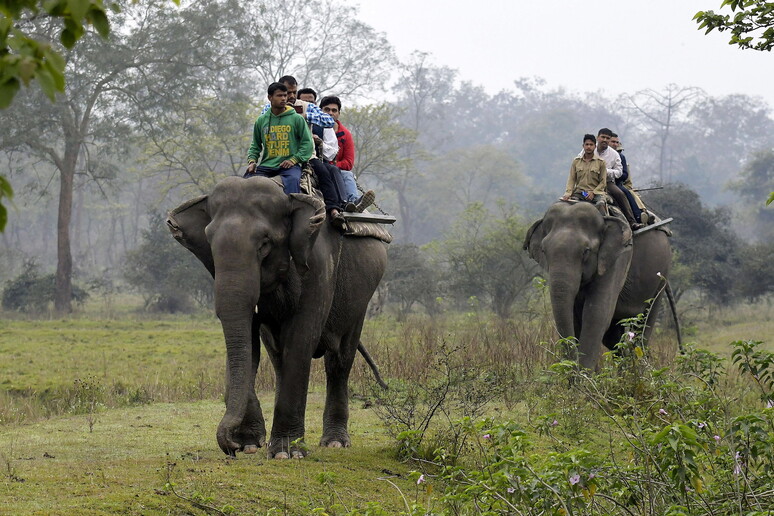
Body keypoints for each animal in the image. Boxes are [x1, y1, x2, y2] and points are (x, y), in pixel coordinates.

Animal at [167, 175, 392, 458]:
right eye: (209, 241)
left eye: (264, 244)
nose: (231, 448)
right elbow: (249, 344)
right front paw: (251, 444)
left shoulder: (318, 264)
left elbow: (301, 339)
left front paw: (286, 453)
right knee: (277, 357)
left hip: (361, 297)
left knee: (340, 359)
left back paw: (335, 442)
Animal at [524, 200, 684, 368]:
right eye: (543, 251)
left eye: (586, 251)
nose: (570, 365)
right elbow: (576, 318)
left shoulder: (619, 257)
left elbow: (596, 314)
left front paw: (583, 374)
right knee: (613, 336)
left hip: (661, 274)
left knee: (642, 327)